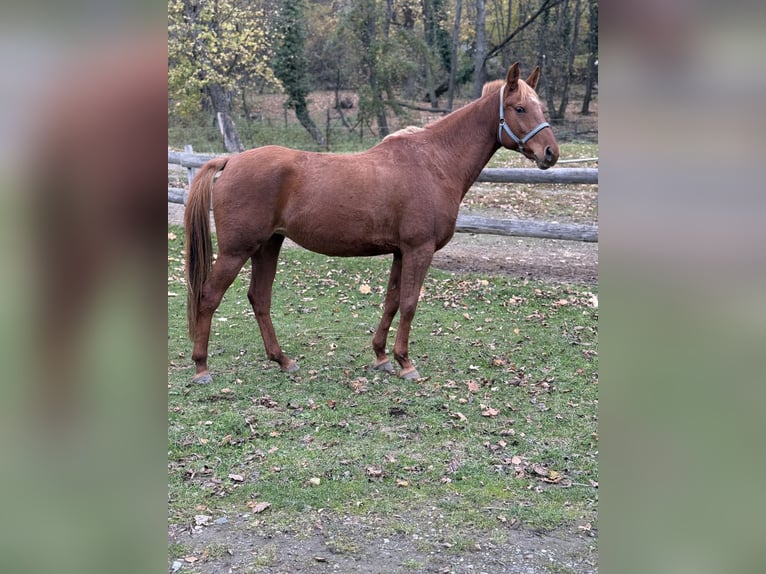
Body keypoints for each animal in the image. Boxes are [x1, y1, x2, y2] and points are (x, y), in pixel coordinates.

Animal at [185, 62, 558, 384]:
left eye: (540, 107)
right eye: (520, 109)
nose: (550, 153)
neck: (433, 162)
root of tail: (230, 161)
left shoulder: (401, 252)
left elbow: (392, 302)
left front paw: (381, 356)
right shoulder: (419, 250)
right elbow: (409, 304)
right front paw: (405, 362)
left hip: (267, 246)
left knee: (259, 299)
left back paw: (283, 360)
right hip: (236, 251)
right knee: (209, 296)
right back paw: (202, 367)